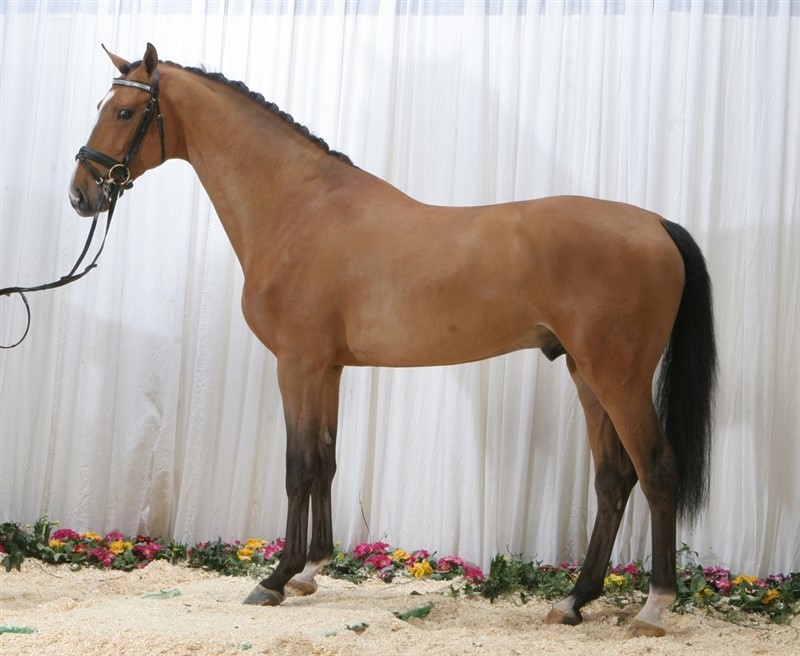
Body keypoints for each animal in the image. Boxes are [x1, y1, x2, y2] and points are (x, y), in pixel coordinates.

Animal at [69, 44, 716, 638]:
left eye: (125, 111)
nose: (81, 194)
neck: (299, 208)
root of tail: (657, 224)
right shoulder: (327, 369)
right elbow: (326, 460)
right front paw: (312, 570)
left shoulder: (297, 364)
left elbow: (298, 465)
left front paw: (276, 578)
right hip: (586, 374)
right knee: (613, 480)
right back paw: (574, 600)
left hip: (618, 376)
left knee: (657, 470)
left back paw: (653, 608)